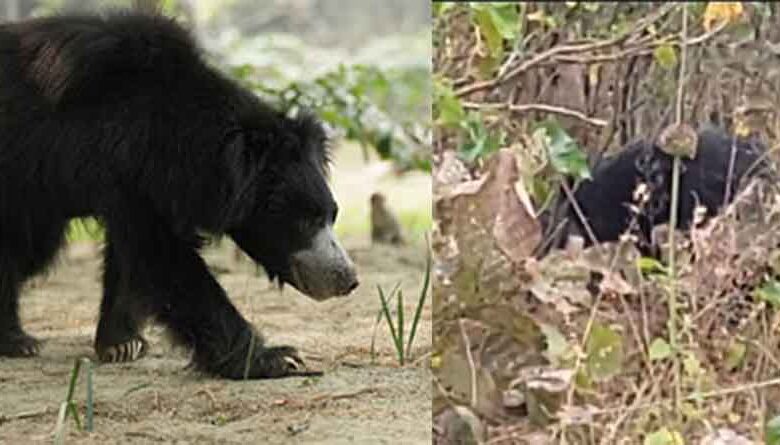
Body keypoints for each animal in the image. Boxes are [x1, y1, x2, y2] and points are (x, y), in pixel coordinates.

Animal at [0, 11, 360, 378]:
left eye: (332, 215)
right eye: (306, 221)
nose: (348, 278)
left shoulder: (147, 185)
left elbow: (130, 259)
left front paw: (122, 344)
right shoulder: (125, 167)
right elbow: (167, 260)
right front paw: (276, 358)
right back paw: (17, 341)